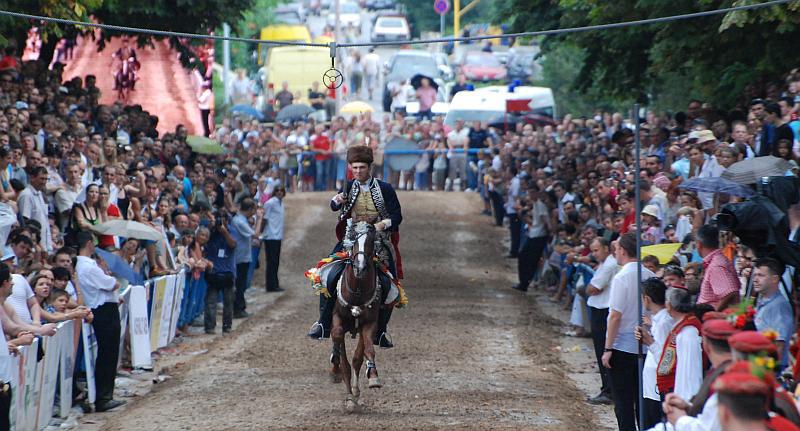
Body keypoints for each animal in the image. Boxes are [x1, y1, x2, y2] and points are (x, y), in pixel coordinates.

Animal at [330, 221, 382, 414]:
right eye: (353, 241)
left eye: (371, 242)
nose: (359, 268)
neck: (358, 290)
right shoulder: (337, 318)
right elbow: (337, 337)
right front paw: (336, 370)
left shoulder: (369, 324)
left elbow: (366, 352)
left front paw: (373, 378)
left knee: (358, 358)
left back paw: (355, 392)